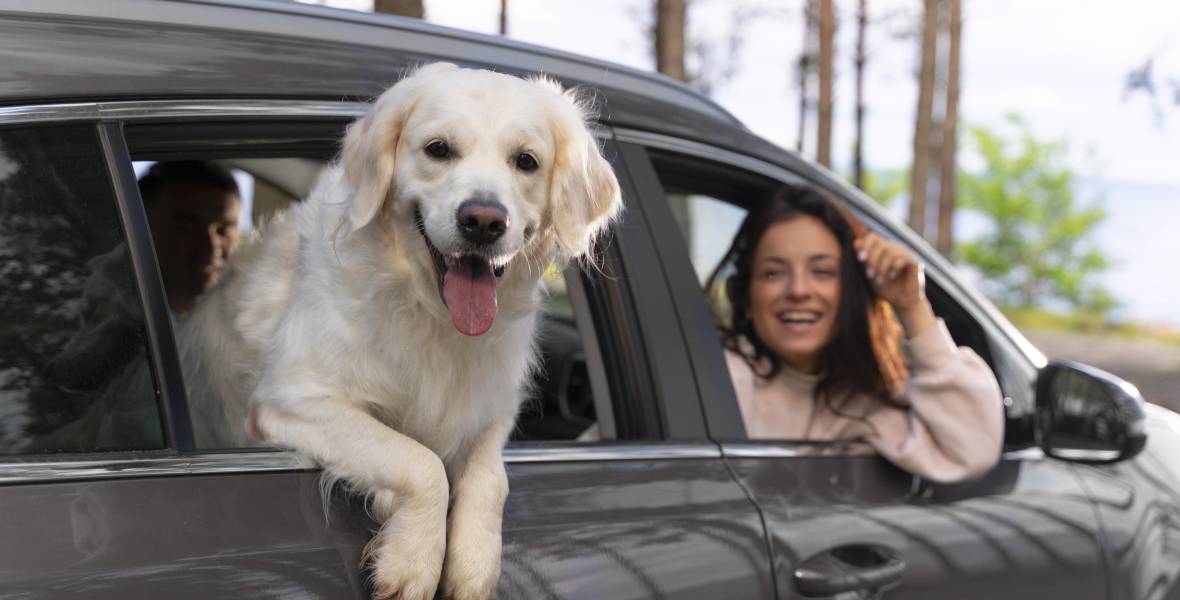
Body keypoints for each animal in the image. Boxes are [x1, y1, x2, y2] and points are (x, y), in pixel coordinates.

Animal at [179, 63, 623, 597]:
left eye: (526, 161)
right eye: (438, 149)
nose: (483, 220)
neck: (428, 313)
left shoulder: (491, 409)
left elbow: (491, 479)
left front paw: (474, 565)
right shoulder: (289, 399)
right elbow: (419, 459)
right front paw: (412, 561)